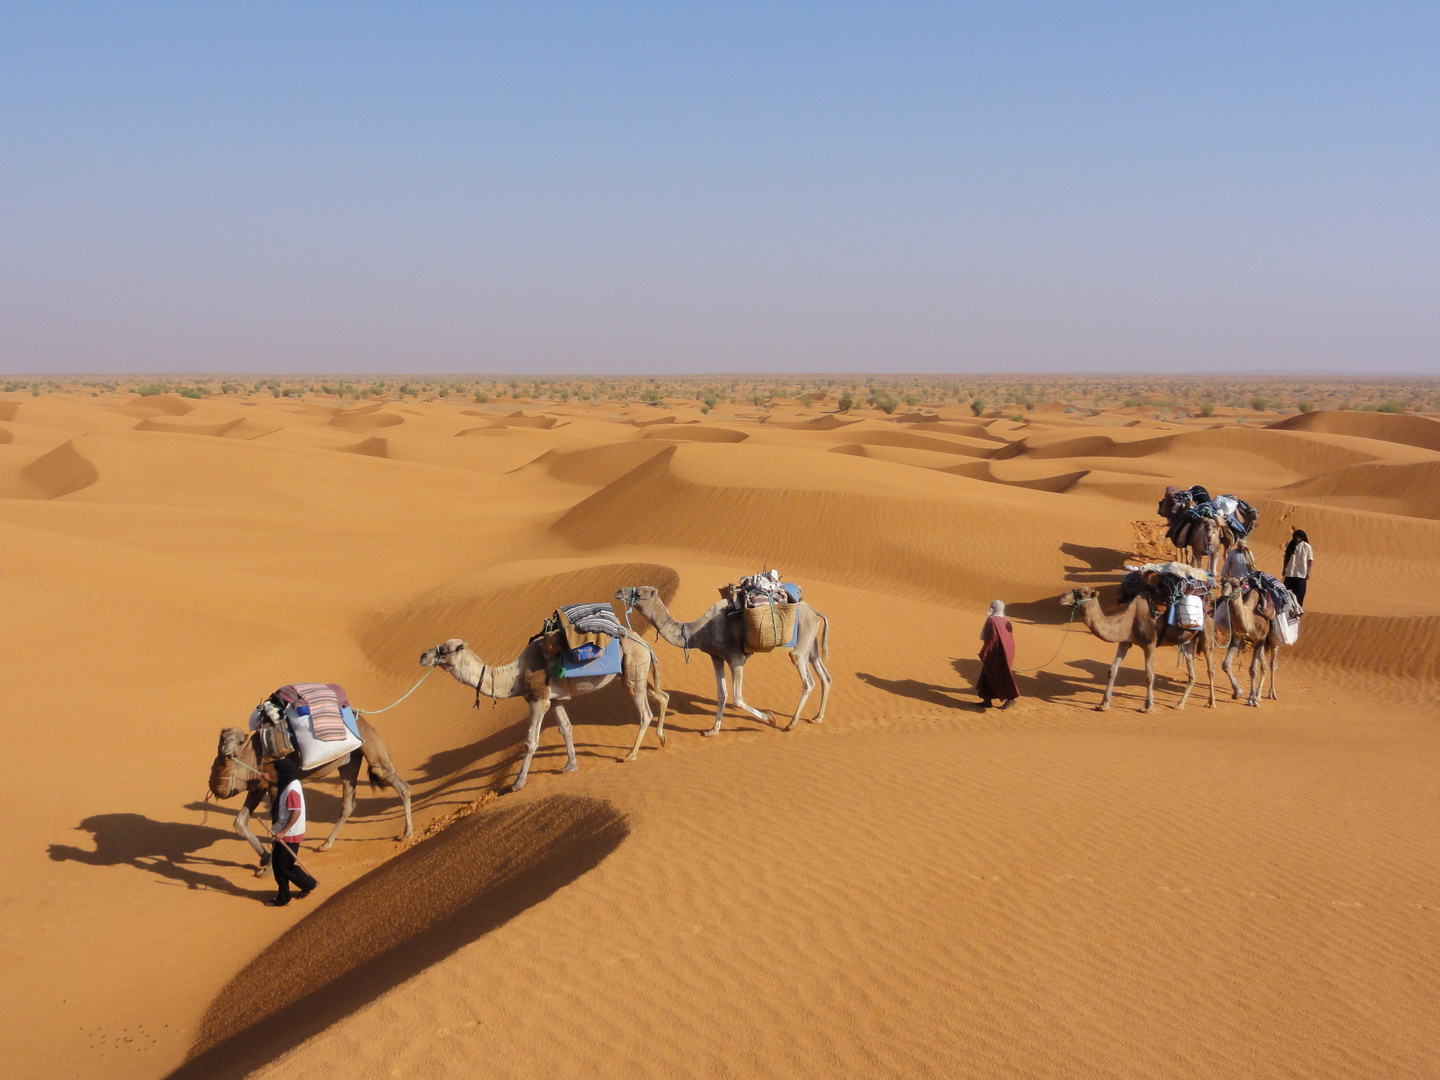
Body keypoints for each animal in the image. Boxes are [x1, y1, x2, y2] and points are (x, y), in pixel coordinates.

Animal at [207, 714, 411, 875]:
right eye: (221, 737)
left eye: (239, 741)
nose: (226, 750)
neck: (251, 759)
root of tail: (361, 718)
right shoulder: (258, 787)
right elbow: (239, 823)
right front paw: (265, 858)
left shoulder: (273, 786)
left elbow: (276, 826)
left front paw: (269, 868)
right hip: (350, 759)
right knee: (349, 802)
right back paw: (325, 845)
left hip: (369, 744)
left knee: (394, 781)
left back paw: (406, 834)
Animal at [417, 630, 662, 789]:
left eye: (446, 650)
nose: (423, 655)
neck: (516, 676)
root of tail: (644, 643)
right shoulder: (555, 700)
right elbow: (566, 729)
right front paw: (570, 766)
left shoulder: (538, 700)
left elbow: (531, 741)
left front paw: (517, 783)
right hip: (633, 673)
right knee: (657, 697)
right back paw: (661, 739)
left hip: (634, 667)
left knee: (645, 713)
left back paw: (631, 755)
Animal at [616, 587, 835, 743]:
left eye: (639, 592)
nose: (619, 591)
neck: (699, 631)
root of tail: (815, 611)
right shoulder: (716, 656)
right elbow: (722, 694)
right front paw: (712, 730)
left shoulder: (736, 659)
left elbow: (737, 698)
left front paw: (770, 717)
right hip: (811, 645)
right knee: (825, 676)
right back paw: (817, 717)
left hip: (801, 643)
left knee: (807, 680)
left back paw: (791, 724)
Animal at [1059, 587, 1215, 714]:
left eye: (1082, 594)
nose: (1062, 596)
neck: (1129, 620)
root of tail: (1208, 612)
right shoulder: (1125, 642)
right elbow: (1112, 670)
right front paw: (1103, 704)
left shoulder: (1150, 644)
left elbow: (1149, 675)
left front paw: (1148, 707)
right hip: (1188, 641)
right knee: (1192, 673)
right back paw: (1179, 704)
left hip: (1207, 635)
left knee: (1210, 668)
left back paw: (1211, 702)